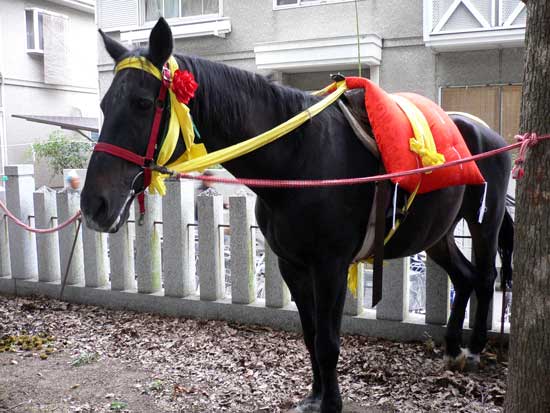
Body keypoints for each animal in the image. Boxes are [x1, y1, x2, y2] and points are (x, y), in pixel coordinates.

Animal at [82, 19, 516, 412]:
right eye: (103, 105)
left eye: (143, 103)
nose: (94, 204)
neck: (299, 159)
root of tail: (489, 134)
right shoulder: (292, 265)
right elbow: (310, 336)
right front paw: (316, 396)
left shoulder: (330, 266)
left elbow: (327, 341)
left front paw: (332, 403)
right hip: (436, 234)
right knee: (464, 276)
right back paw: (454, 348)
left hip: (484, 222)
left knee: (484, 276)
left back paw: (474, 348)